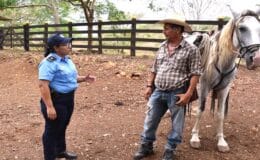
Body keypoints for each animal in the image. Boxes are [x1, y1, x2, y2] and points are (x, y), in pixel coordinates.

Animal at [188, 7, 260, 152]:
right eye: (242, 28)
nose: (256, 59)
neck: (221, 62)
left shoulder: (224, 89)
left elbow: (220, 114)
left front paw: (221, 140)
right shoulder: (204, 87)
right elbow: (200, 110)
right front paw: (195, 138)